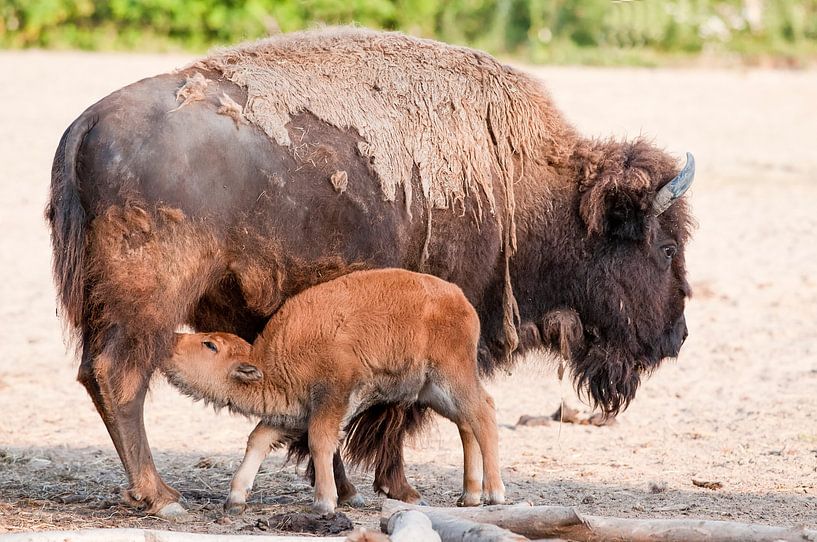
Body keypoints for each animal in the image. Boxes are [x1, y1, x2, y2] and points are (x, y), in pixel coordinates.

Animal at [161, 270, 504, 516]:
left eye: (210, 345)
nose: (172, 340)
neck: (272, 363)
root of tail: (459, 298)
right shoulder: (293, 411)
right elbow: (258, 439)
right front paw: (235, 499)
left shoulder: (331, 398)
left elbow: (320, 441)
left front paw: (325, 502)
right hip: (434, 391)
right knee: (466, 423)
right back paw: (470, 495)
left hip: (452, 377)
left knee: (483, 413)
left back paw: (494, 493)